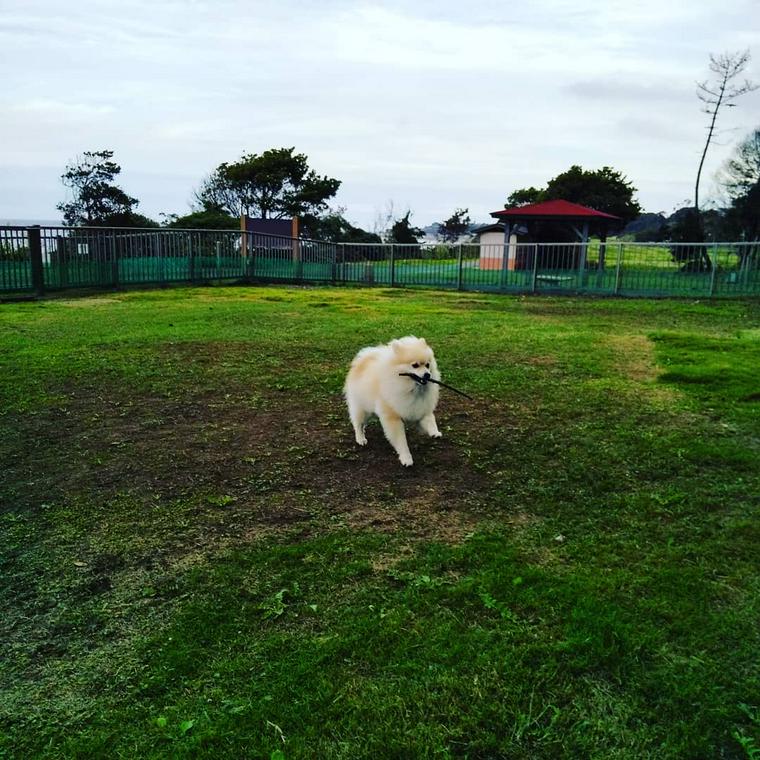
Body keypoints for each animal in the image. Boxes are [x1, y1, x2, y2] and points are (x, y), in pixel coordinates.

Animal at [342, 336, 442, 466]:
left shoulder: (420, 407)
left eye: (427, 365)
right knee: (358, 424)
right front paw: (406, 458)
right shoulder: (393, 418)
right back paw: (361, 438)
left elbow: (430, 420)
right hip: (362, 408)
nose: (427, 375)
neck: (410, 388)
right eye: (415, 365)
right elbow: (401, 441)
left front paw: (435, 432)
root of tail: (362, 360)